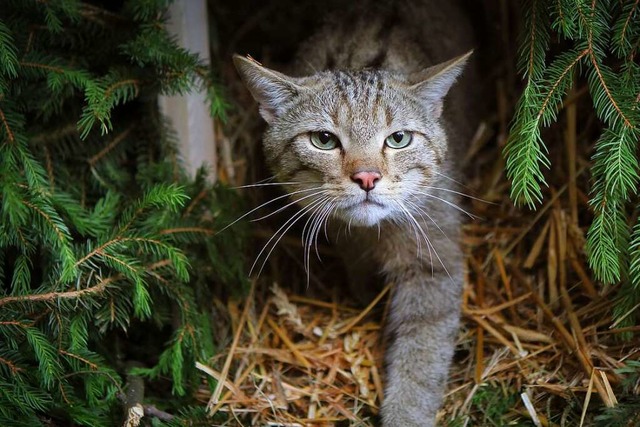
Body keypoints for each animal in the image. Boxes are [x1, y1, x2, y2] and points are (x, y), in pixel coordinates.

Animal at [232, 1, 478, 426]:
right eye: (323, 140)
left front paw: (405, 413)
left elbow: (421, 353)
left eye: (399, 139)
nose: (366, 177)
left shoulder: (435, 261)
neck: (372, 234)